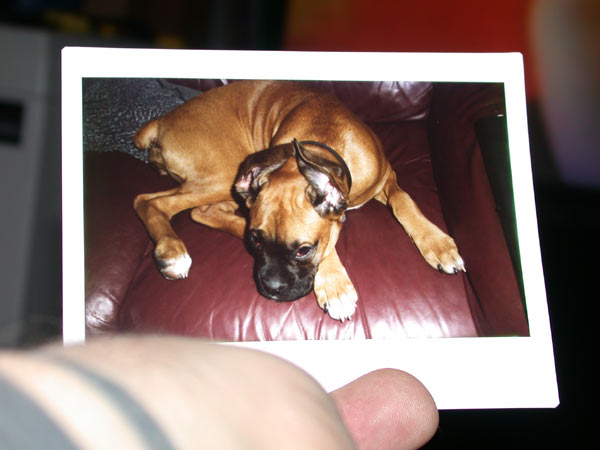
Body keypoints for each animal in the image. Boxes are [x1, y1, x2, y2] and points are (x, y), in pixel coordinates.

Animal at [133, 80, 465, 321]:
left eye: (304, 250)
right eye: (257, 241)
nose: (271, 288)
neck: (323, 147)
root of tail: (161, 121)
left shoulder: (387, 178)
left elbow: (403, 200)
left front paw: (438, 244)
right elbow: (332, 240)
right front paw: (335, 286)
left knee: (197, 209)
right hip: (221, 171)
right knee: (152, 202)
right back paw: (173, 252)